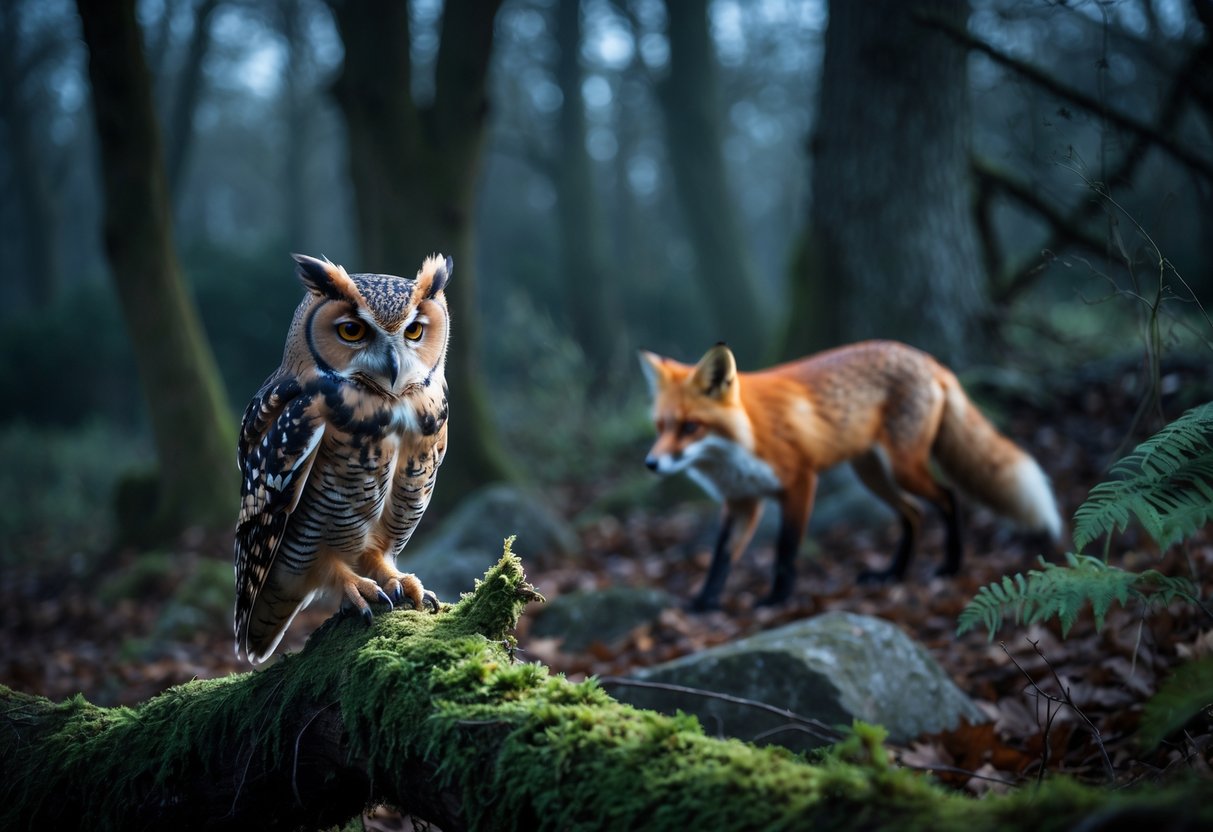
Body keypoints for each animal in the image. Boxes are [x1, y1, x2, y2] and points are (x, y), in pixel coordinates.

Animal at [639, 340, 1062, 611]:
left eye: (691, 427)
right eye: (660, 427)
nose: (651, 464)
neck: (742, 440)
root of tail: (927, 358)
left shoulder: (800, 482)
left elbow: (785, 551)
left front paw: (777, 600)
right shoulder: (741, 501)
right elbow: (721, 558)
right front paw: (702, 604)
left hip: (903, 469)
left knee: (947, 496)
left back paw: (950, 566)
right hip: (870, 474)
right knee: (913, 514)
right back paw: (891, 574)